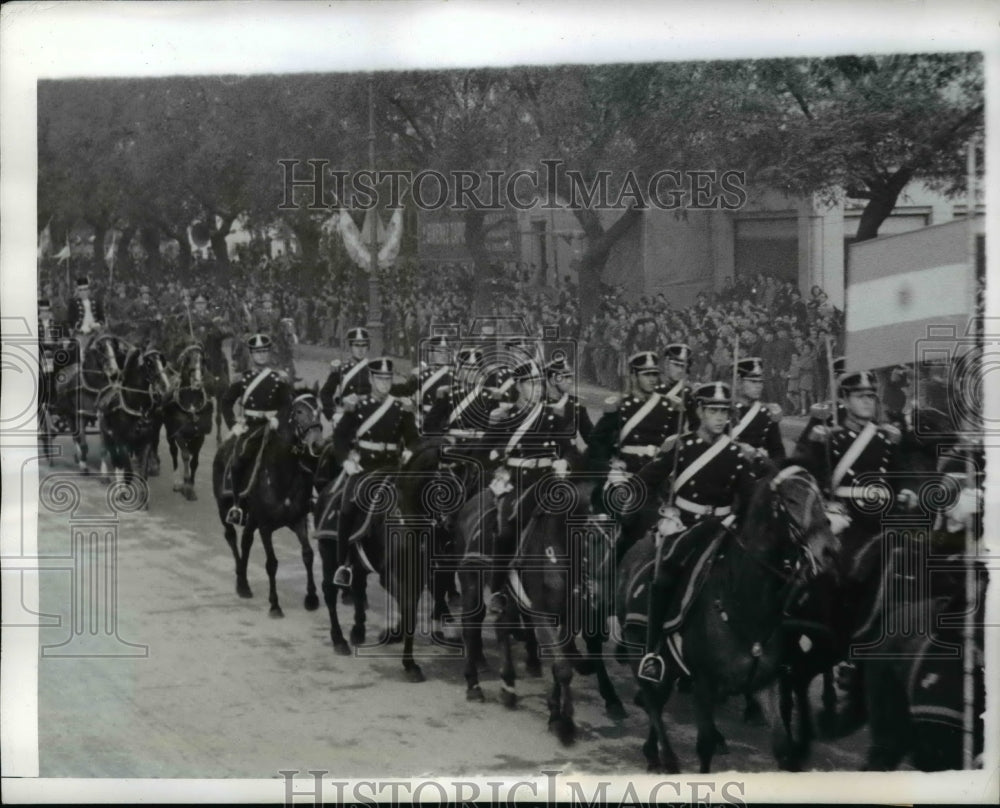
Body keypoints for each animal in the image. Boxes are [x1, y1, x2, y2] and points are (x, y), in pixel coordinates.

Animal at [97, 342, 172, 498]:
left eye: (162, 361)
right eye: (149, 363)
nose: (167, 390)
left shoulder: (146, 441)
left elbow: (142, 472)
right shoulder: (121, 441)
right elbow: (127, 470)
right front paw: (123, 490)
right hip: (105, 434)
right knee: (107, 454)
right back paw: (106, 476)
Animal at [212, 388, 324, 616]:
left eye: (320, 409)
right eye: (299, 411)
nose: (318, 444)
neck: (283, 475)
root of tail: (223, 447)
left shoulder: (298, 520)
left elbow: (308, 554)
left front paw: (311, 598)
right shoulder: (265, 526)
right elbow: (272, 563)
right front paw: (274, 604)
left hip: (251, 518)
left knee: (246, 541)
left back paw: (244, 583)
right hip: (224, 510)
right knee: (232, 538)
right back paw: (241, 580)